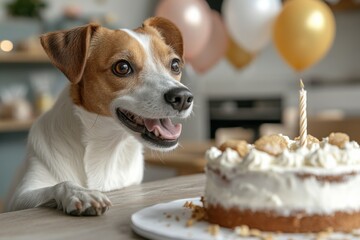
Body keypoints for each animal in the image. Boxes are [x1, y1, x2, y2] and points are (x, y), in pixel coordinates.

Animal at [4, 16, 193, 216]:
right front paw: (81, 194)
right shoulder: (20, 197)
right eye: (122, 67)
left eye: (175, 64)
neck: (107, 148)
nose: (183, 97)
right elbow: (60, 184)